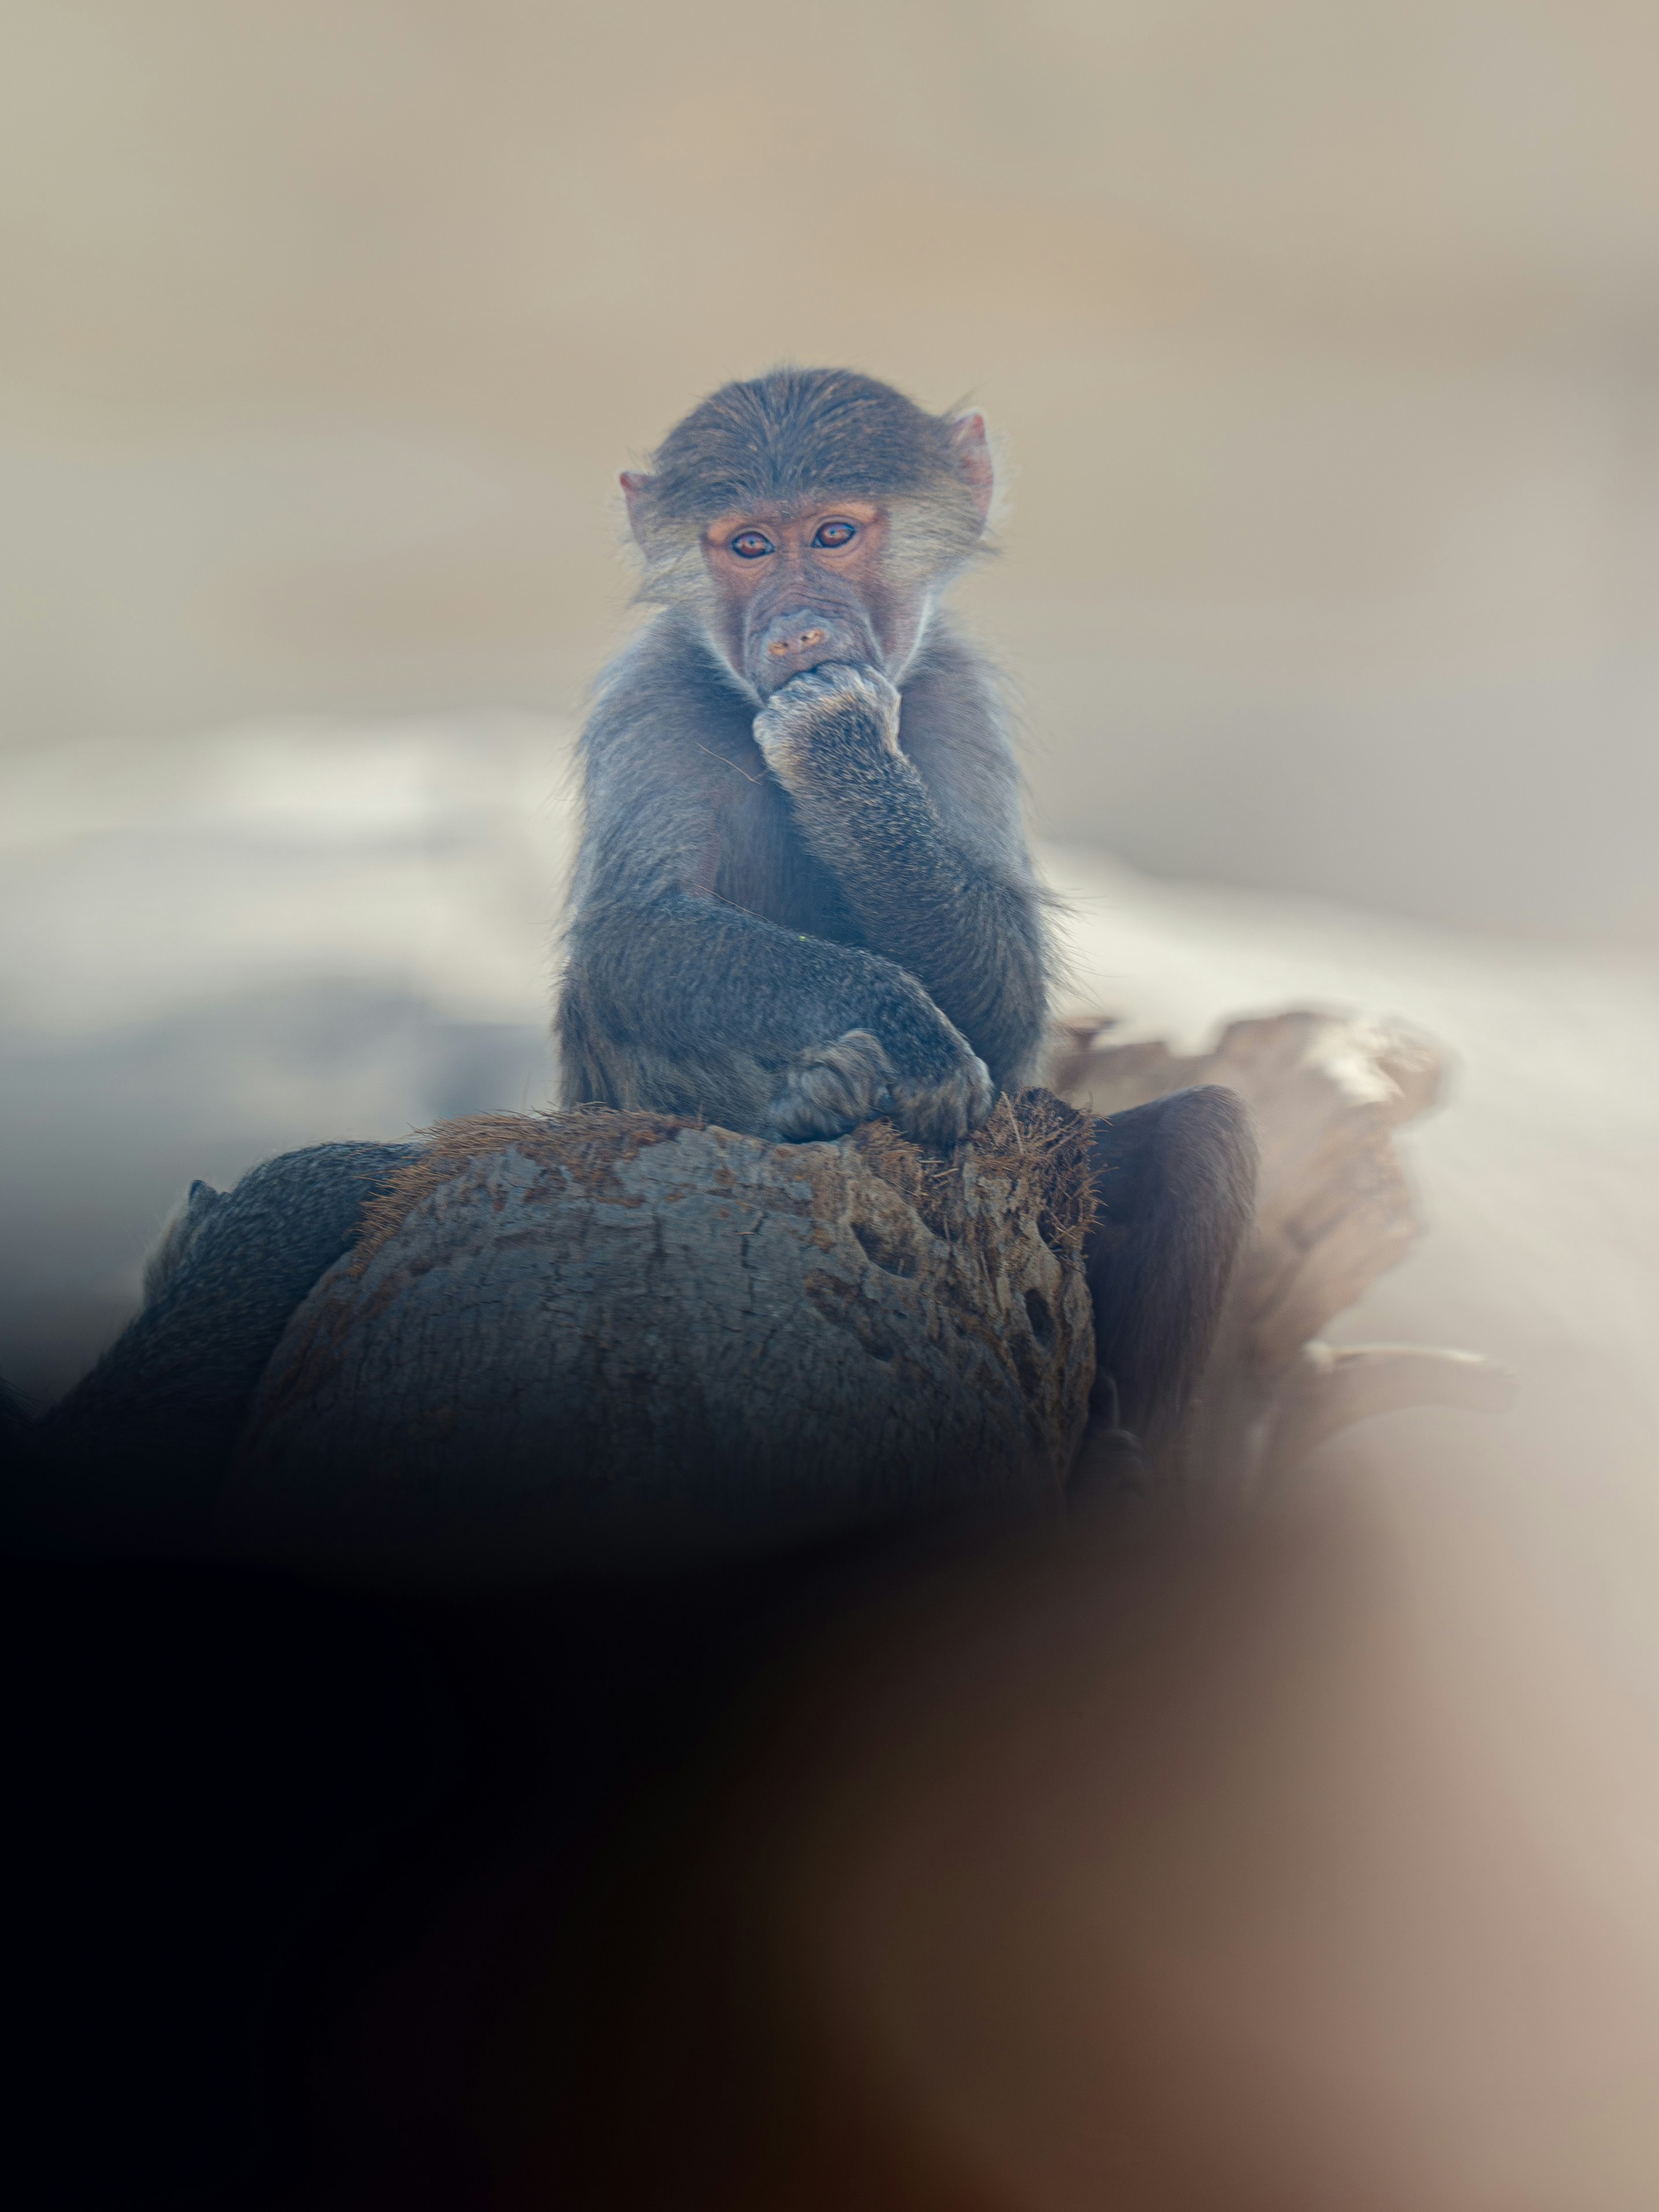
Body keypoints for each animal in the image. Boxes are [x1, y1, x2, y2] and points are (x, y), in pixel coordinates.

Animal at [555, 366, 1049, 1145]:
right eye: (750, 546)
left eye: (833, 535)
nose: (796, 634)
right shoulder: (651, 696)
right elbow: (628, 928)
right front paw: (902, 1024)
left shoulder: (959, 696)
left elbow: (1013, 1007)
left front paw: (833, 743)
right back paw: (813, 1098)